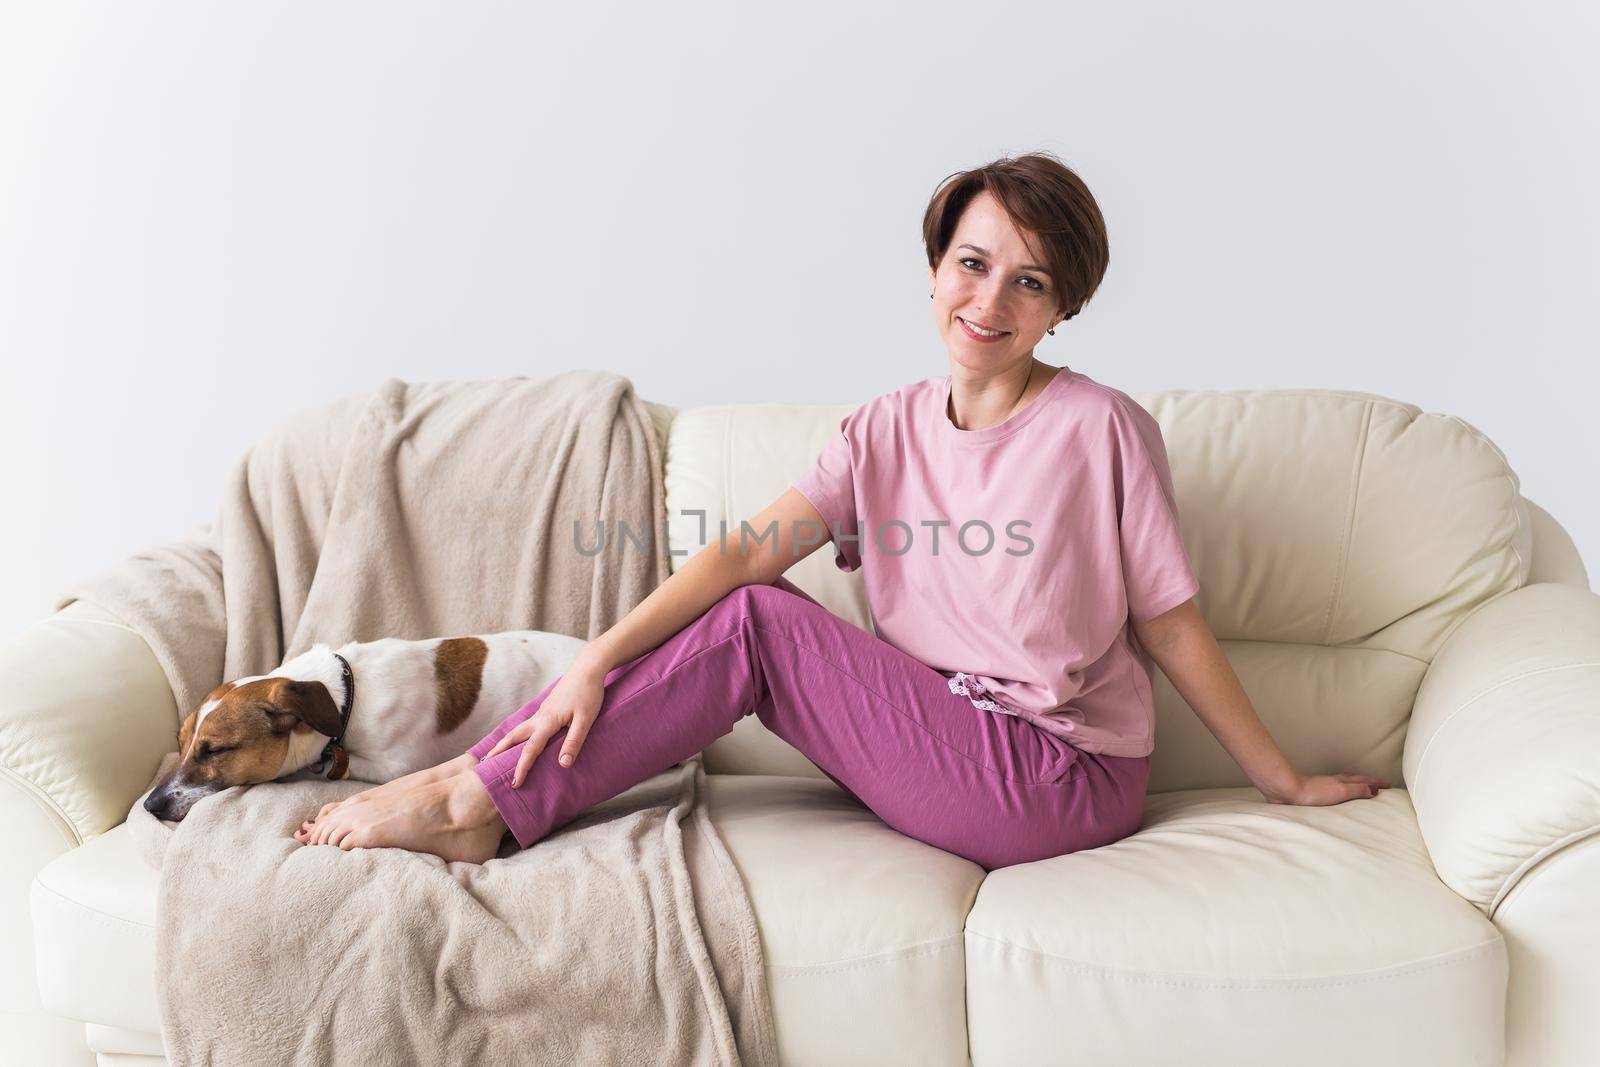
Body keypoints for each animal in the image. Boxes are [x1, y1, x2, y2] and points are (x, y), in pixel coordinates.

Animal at [144, 630, 588, 825]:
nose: (150, 805)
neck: (343, 696)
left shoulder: (399, 765)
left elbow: (329, 766)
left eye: (215, 750)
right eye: (181, 744)